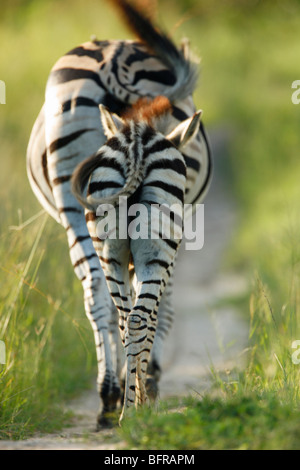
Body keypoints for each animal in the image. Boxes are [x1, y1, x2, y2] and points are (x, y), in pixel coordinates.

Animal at [27, 0, 212, 426]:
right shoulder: (174, 239)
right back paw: (127, 401)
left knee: (105, 298)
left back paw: (113, 399)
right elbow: (162, 307)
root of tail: (114, 56)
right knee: (137, 311)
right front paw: (148, 382)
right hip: (150, 235)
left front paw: (135, 385)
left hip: (79, 212)